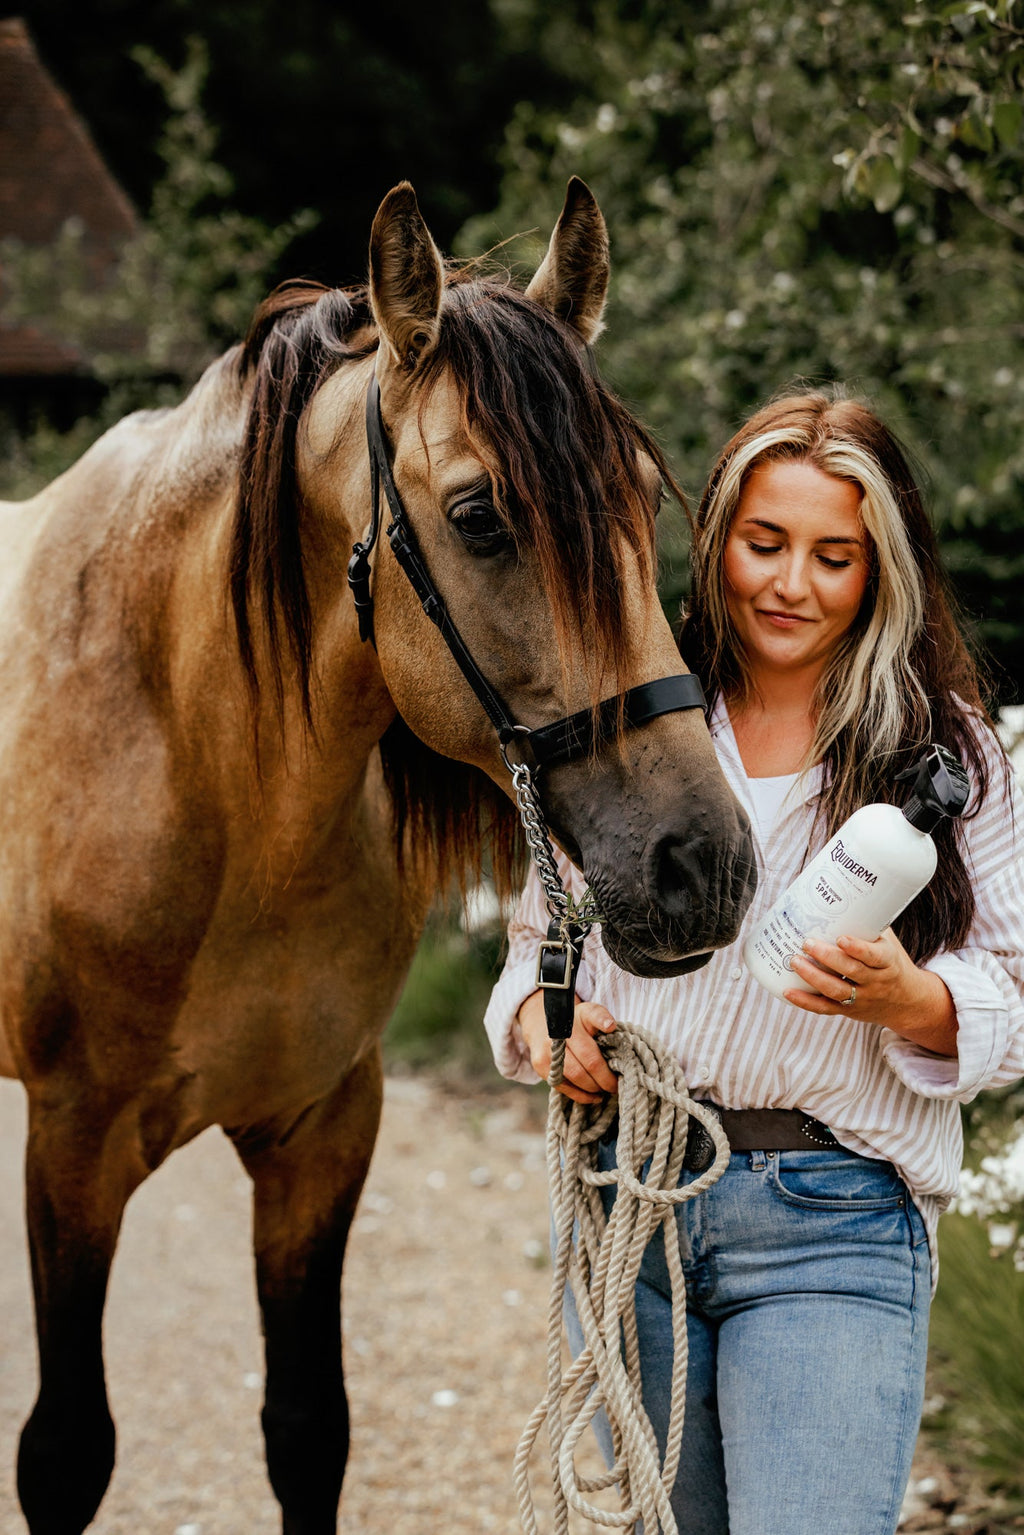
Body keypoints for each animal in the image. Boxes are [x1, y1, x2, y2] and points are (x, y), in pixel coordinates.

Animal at [0, 178, 756, 1534]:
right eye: (479, 515)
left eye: (633, 492)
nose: (701, 862)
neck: (204, 774)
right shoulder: (72, 1144)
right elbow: (67, 1451)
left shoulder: (324, 1129)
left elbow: (308, 1429)